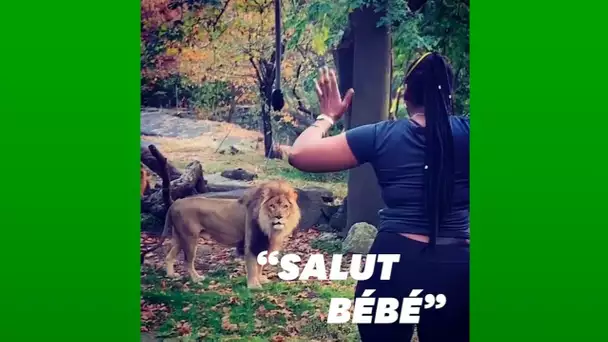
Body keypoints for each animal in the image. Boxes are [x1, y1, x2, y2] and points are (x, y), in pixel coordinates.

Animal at [141, 180, 302, 290]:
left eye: (285, 206)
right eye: (272, 206)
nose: (279, 217)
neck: (269, 227)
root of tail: (175, 203)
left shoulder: (263, 243)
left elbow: (260, 264)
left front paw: (261, 279)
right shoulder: (251, 242)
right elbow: (252, 265)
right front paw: (253, 286)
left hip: (180, 237)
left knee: (169, 256)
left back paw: (171, 275)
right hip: (189, 237)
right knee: (188, 261)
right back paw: (196, 279)